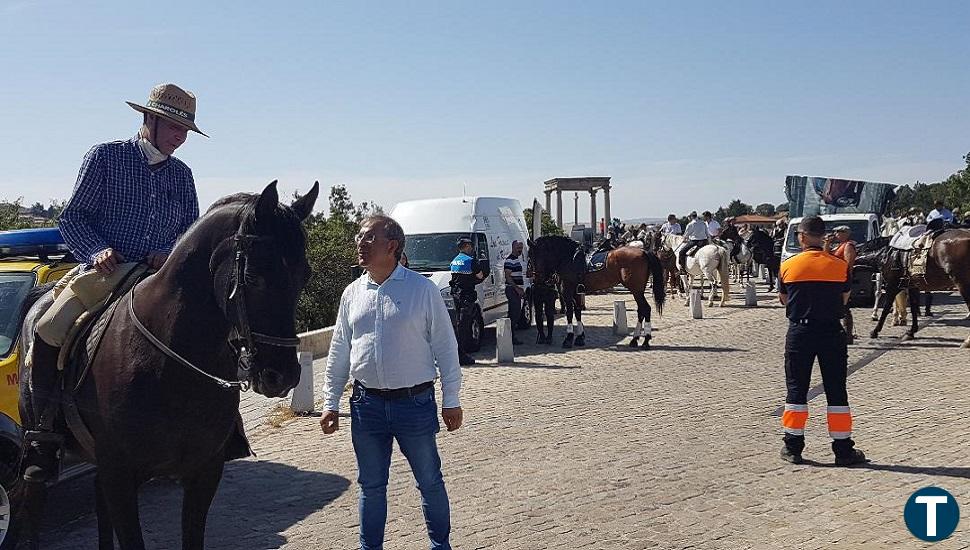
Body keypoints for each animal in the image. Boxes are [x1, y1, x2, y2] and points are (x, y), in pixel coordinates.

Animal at [15, 181, 318, 548]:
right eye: (255, 276)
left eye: (304, 275)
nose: (281, 375)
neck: (171, 367)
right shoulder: (121, 474)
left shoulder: (203, 472)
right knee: (31, 505)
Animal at [520, 236, 664, 350]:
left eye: (532, 255)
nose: (537, 279)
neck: (568, 258)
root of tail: (644, 251)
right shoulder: (576, 292)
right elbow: (577, 312)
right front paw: (579, 338)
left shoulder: (567, 291)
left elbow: (569, 313)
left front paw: (568, 339)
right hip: (637, 291)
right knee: (641, 311)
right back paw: (635, 340)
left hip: (636, 290)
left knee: (646, 309)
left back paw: (645, 341)